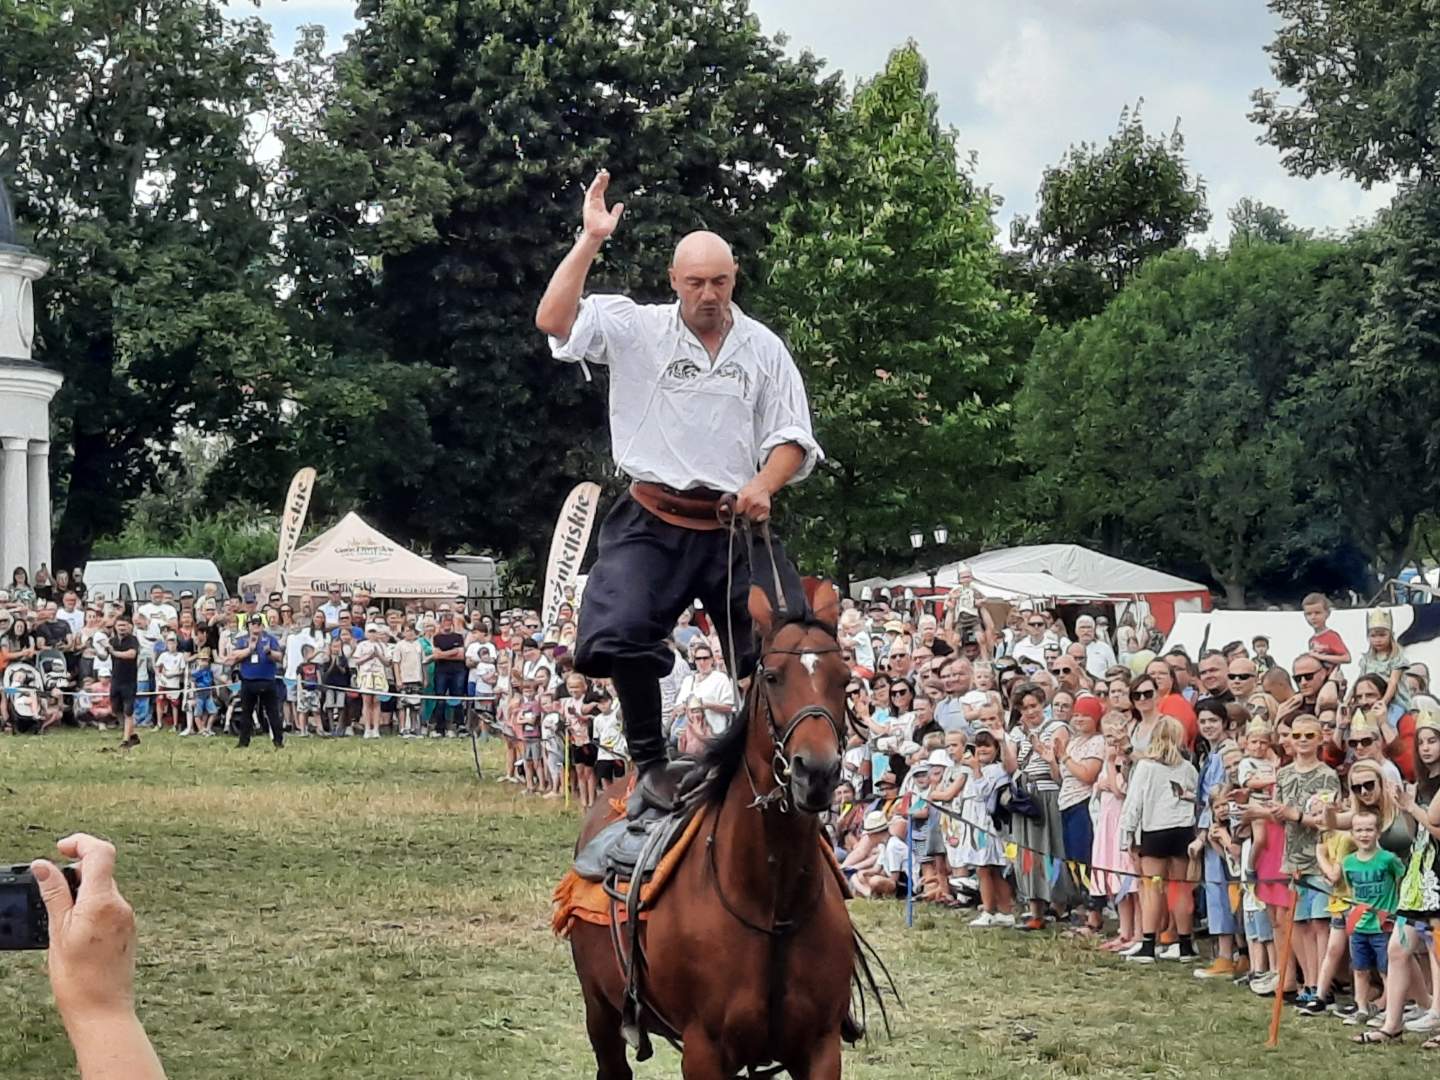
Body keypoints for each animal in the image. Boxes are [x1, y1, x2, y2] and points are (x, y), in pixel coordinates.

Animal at [570, 584, 864, 1080]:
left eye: (845, 679)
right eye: (772, 676)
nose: (817, 772)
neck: (771, 902)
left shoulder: (821, 1048)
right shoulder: (704, 1051)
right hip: (600, 1010)